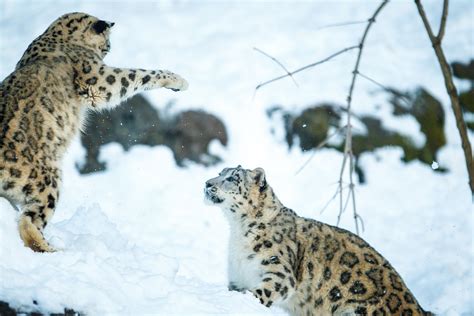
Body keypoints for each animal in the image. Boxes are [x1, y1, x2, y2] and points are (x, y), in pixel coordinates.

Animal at [0, 12, 189, 252]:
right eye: (107, 43)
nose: (108, 49)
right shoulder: (100, 77)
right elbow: (137, 74)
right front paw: (178, 81)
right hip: (49, 179)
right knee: (29, 223)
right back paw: (54, 249)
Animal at [202, 167, 432, 314]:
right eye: (220, 172)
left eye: (232, 178)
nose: (207, 183)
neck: (238, 231)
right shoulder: (237, 278)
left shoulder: (279, 273)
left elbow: (260, 293)